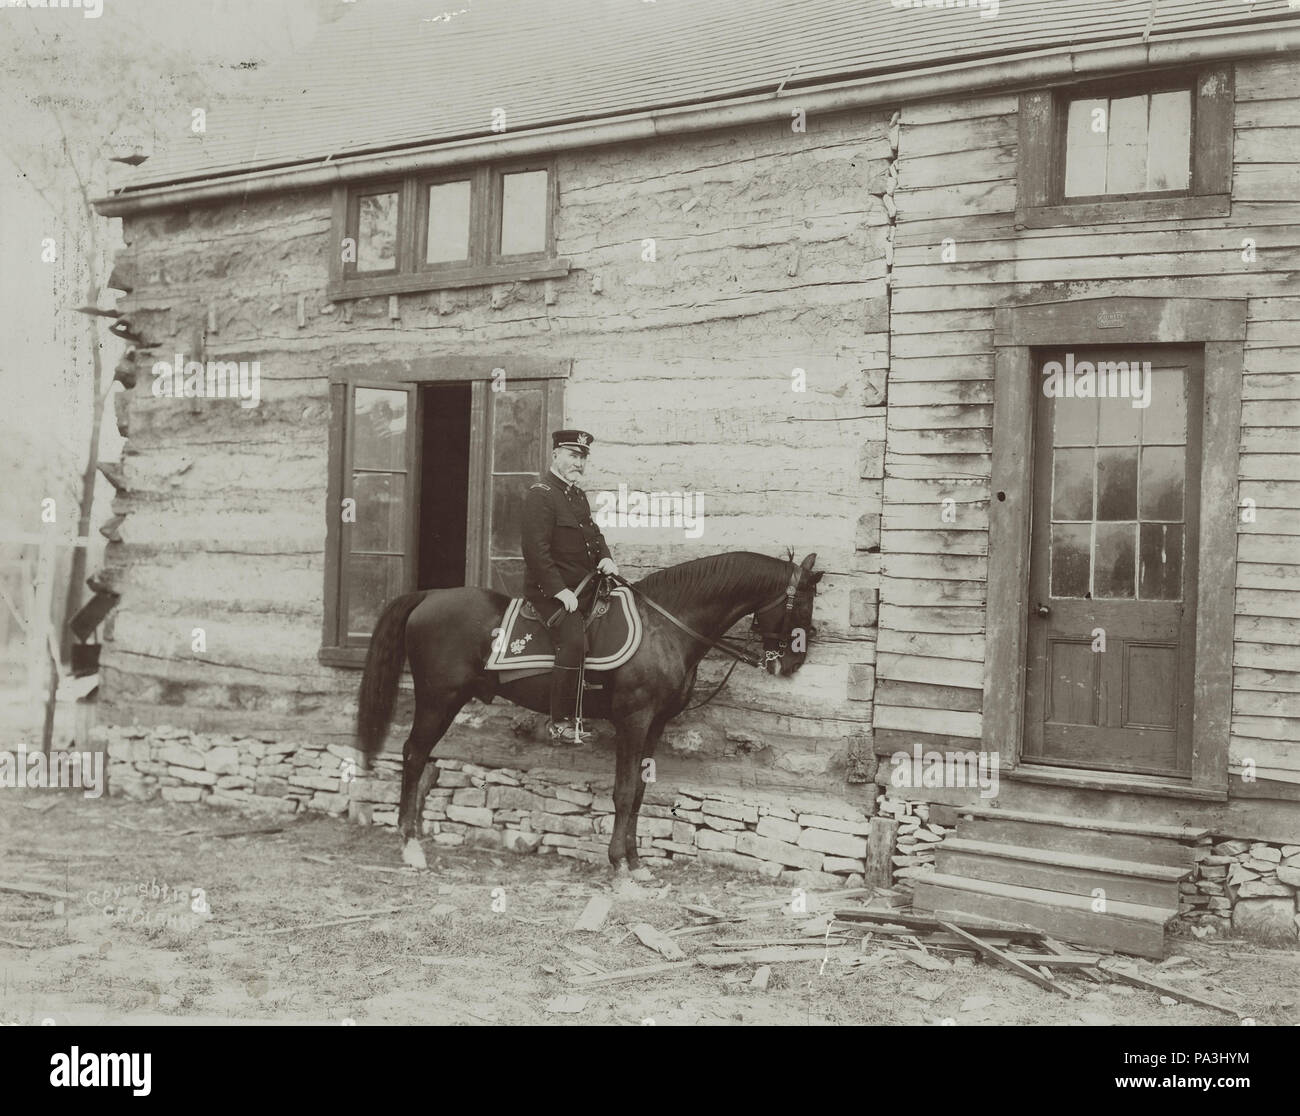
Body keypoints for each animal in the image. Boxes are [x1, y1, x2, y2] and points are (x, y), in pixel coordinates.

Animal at [356, 551, 821, 874]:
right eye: (802, 606)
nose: (792, 663)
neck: (666, 627)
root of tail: (429, 595)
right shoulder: (633, 720)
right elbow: (624, 792)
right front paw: (619, 865)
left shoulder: (654, 725)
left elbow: (639, 792)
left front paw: (636, 862)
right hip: (439, 700)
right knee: (414, 754)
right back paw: (410, 845)